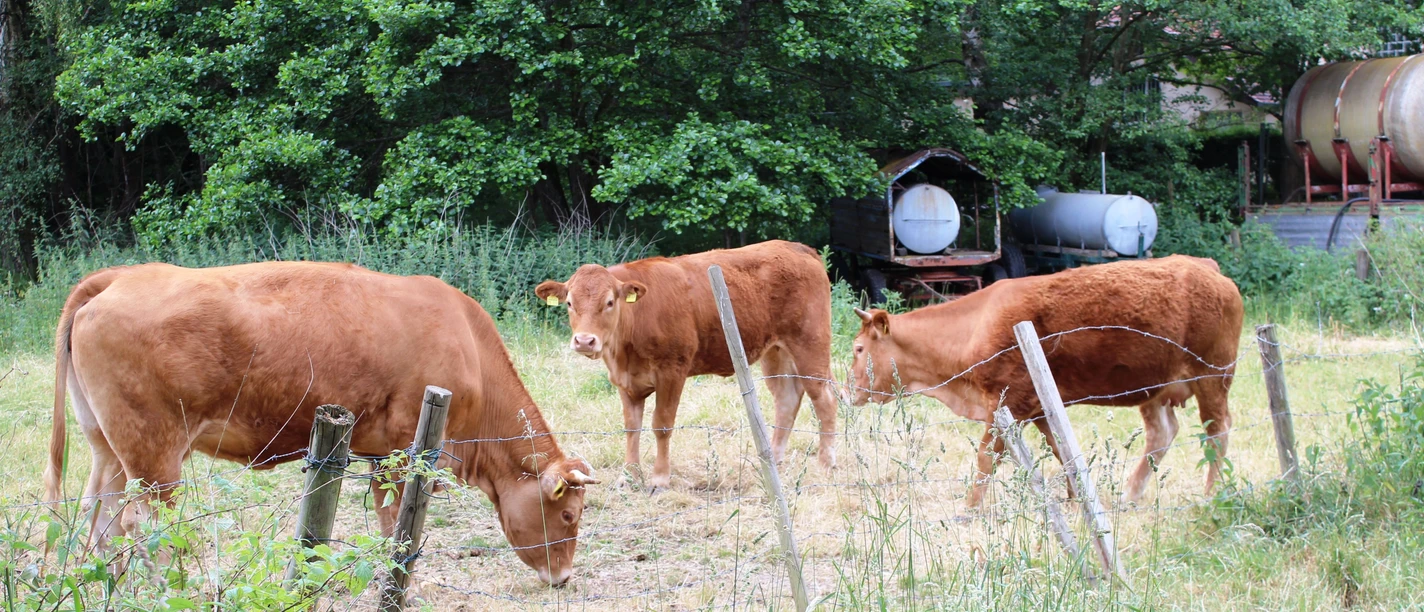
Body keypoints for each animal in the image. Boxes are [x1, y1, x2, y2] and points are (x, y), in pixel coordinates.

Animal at [43, 262, 600, 585]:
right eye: (569, 516)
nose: (564, 577)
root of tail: (117, 277)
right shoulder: (409, 452)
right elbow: (396, 523)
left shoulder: (380, 453)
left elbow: (386, 519)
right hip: (153, 454)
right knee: (141, 523)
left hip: (107, 446)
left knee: (98, 513)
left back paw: (108, 584)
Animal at [535, 240, 838, 491]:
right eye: (569, 303)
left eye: (609, 302)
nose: (585, 340)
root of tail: (798, 248)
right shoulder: (625, 380)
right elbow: (632, 428)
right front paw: (628, 476)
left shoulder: (672, 371)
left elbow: (661, 425)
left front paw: (659, 479)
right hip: (776, 352)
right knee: (787, 399)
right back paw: (773, 459)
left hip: (811, 345)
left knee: (824, 400)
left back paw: (826, 464)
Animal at [848, 255, 1242, 506]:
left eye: (858, 348)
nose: (848, 391)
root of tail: (1208, 269)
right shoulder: (1038, 408)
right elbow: (1062, 452)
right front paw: (1076, 498)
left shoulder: (1005, 403)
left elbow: (985, 459)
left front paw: (971, 509)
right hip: (1155, 389)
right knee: (1162, 434)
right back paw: (1130, 496)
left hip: (1212, 376)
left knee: (1217, 432)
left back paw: (1211, 494)